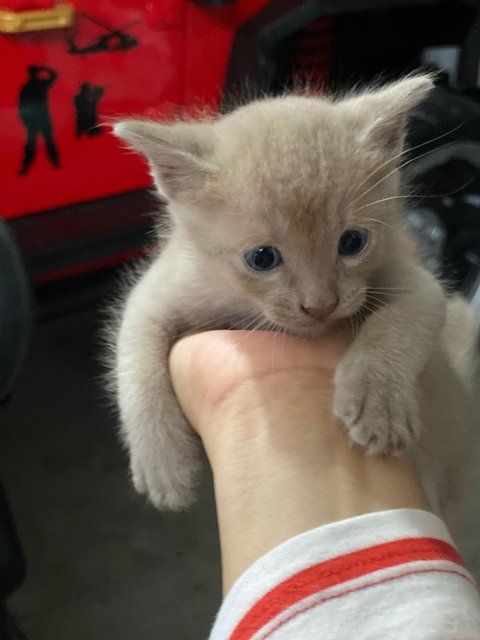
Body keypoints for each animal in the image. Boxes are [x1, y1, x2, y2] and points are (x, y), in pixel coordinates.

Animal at [108, 75, 476, 532]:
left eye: (352, 242)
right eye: (262, 258)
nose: (320, 305)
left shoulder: (416, 280)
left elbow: (402, 321)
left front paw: (378, 402)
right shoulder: (156, 293)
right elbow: (135, 364)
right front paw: (162, 466)